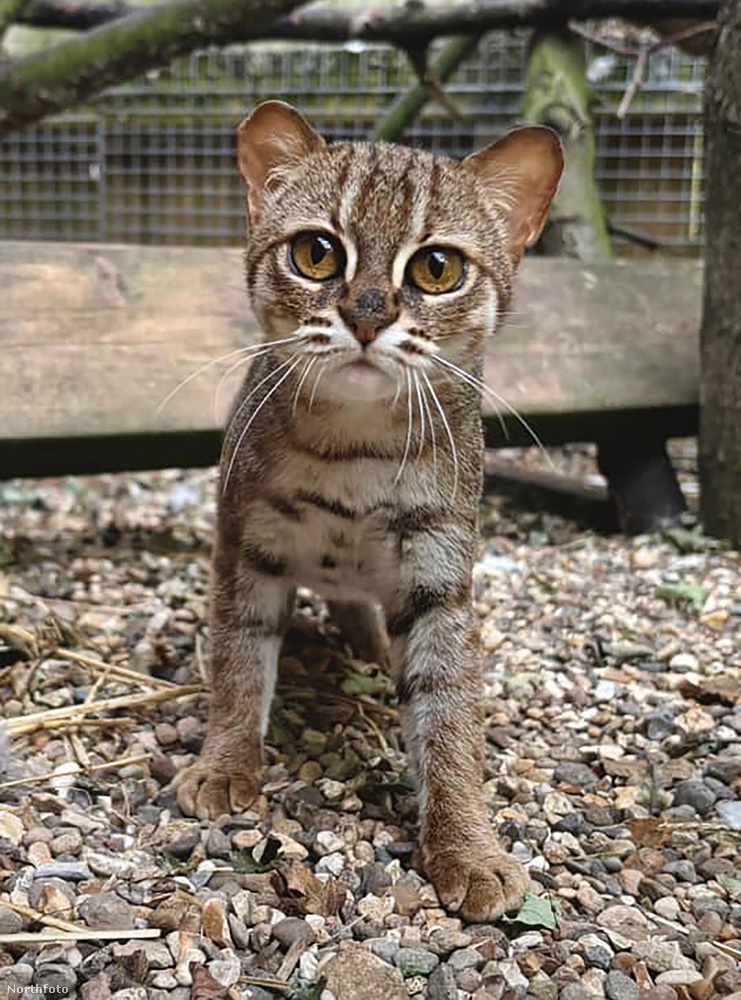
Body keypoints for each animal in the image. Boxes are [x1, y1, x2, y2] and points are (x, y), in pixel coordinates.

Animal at [178, 103, 560, 920]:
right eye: (317, 254)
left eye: (437, 267)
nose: (365, 316)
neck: (355, 453)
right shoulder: (245, 547)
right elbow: (238, 665)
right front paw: (225, 763)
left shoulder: (440, 573)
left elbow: (448, 716)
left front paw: (467, 848)